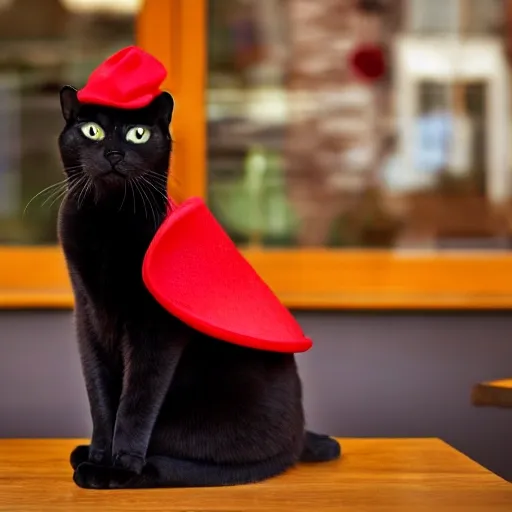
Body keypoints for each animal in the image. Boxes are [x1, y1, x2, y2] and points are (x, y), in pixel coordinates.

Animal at [56, 86, 340, 490]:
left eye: (138, 134)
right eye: (91, 130)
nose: (113, 153)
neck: (107, 220)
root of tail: (300, 436)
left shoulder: (155, 329)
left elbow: (135, 403)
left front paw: (118, 465)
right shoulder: (88, 316)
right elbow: (100, 397)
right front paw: (99, 454)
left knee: (186, 466)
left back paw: (125, 472)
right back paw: (85, 456)